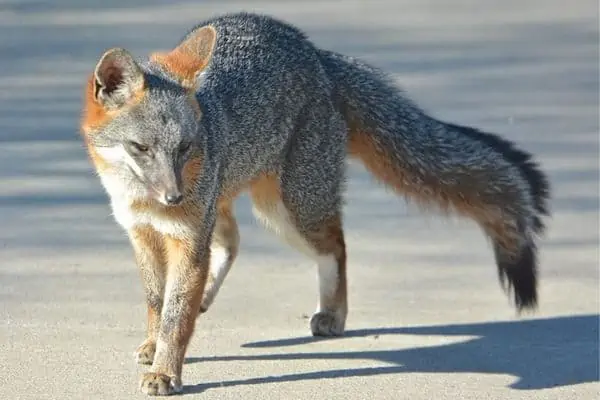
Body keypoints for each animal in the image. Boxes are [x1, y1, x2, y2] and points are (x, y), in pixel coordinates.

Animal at [81, 10, 552, 396]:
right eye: (141, 149)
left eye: (184, 148)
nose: (174, 196)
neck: (143, 200)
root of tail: (314, 52)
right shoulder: (144, 234)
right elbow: (157, 301)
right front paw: (154, 343)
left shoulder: (187, 235)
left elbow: (175, 315)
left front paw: (166, 369)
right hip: (239, 201)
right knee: (232, 241)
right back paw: (208, 300)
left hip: (288, 209)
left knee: (336, 246)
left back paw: (333, 314)